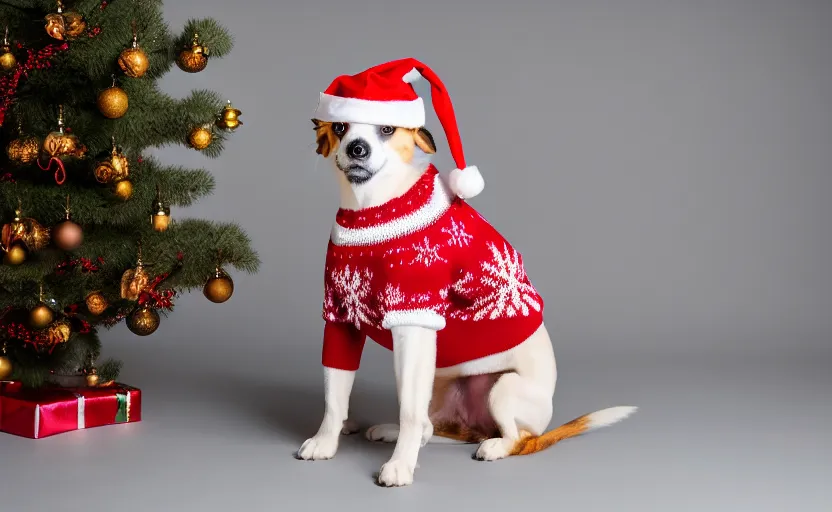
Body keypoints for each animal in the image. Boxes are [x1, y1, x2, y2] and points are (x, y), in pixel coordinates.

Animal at [298, 117, 636, 488]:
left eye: (387, 129)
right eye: (340, 127)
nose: (357, 148)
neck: (373, 209)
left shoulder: (413, 324)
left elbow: (409, 412)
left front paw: (400, 466)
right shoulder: (340, 316)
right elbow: (335, 394)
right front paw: (326, 441)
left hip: (502, 388)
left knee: (514, 439)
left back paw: (495, 446)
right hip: (436, 379)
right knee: (432, 427)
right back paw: (393, 431)